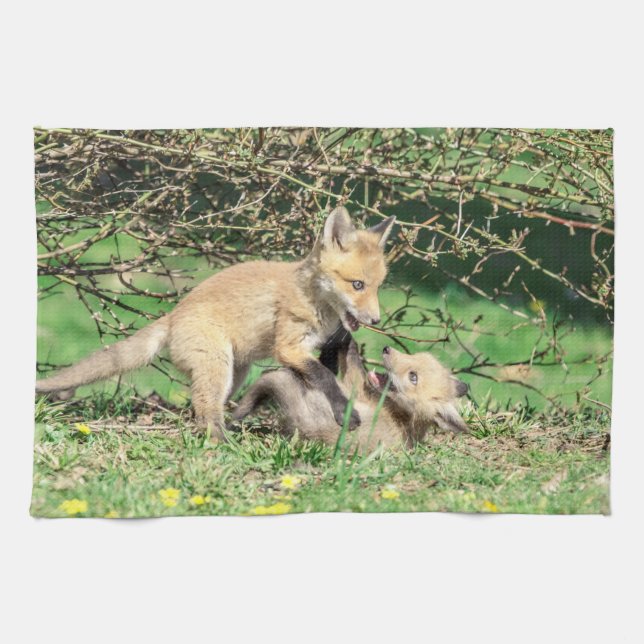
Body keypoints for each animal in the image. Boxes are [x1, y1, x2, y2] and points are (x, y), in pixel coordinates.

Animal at [36, 207, 395, 440]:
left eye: (378, 286)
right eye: (357, 285)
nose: (376, 319)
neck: (316, 302)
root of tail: (173, 314)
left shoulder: (323, 346)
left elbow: (327, 374)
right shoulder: (288, 347)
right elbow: (324, 377)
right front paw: (343, 412)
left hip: (235, 373)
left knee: (202, 407)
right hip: (218, 366)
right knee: (205, 409)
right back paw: (222, 441)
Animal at [232, 334, 469, 452]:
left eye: (413, 377)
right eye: (415, 356)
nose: (386, 349)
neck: (403, 418)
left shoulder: (355, 387)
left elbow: (352, 360)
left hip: (288, 382)